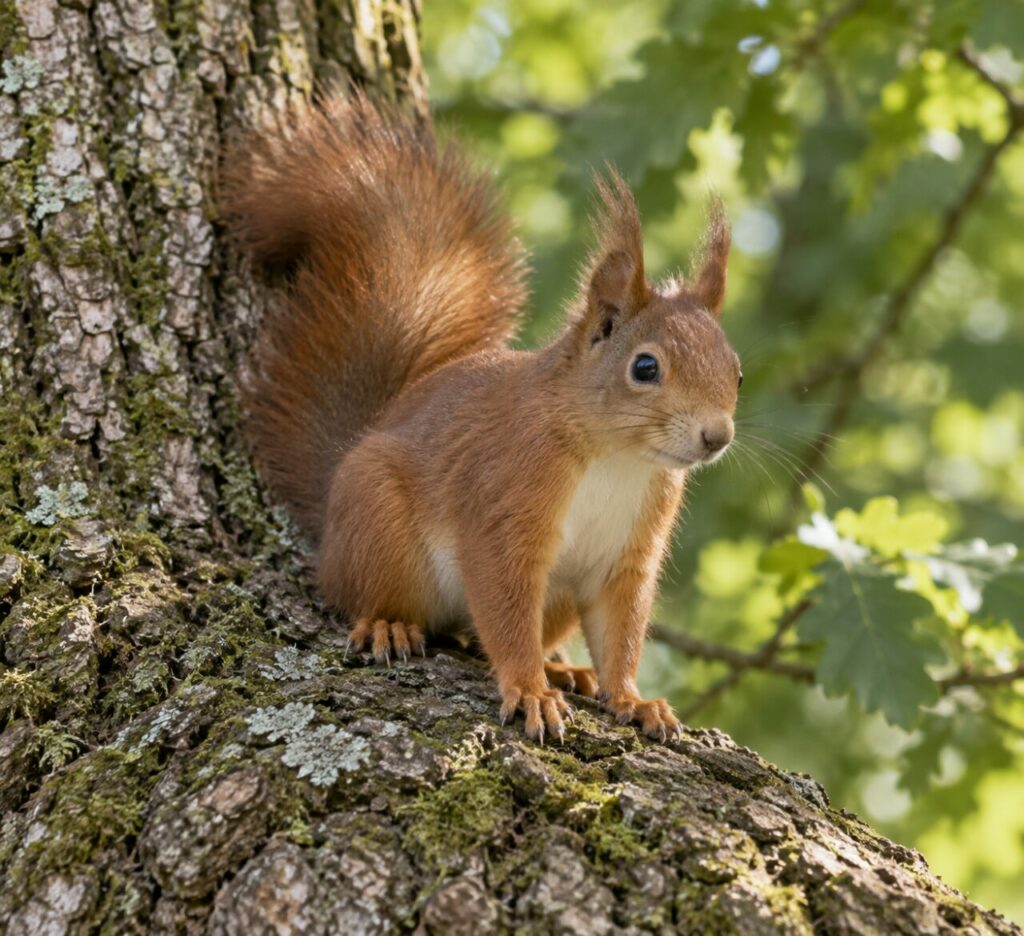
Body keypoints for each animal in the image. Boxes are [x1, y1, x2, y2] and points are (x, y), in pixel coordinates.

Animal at [228, 90, 740, 743]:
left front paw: (633, 699)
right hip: (378, 523)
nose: (715, 436)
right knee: (365, 596)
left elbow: (621, 634)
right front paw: (529, 691)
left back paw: (563, 667)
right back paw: (389, 625)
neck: (617, 458)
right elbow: (504, 607)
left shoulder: (627, 556)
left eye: (737, 372)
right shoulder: (504, 504)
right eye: (644, 367)